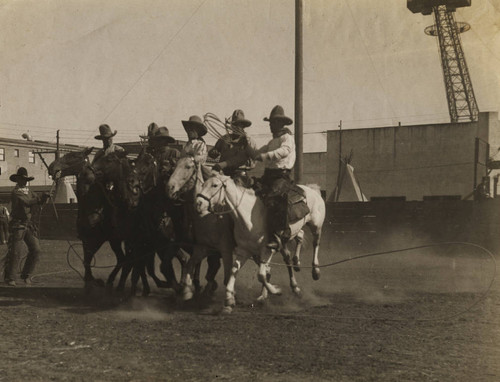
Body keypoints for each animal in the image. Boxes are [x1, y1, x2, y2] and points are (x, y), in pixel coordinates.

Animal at [193, 173, 326, 314]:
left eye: (215, 185)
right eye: (203, 184)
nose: (198, 204)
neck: (248, 218)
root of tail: (312, 189)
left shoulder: (266, 251)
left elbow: (261, 275)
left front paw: (276, 290)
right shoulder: (244, 251)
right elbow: (234, 271)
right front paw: (229, 301)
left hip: (316, 225)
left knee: (315, 243)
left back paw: (315, 271)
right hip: (289, 235)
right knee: (297, 242)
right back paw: (296, 273)